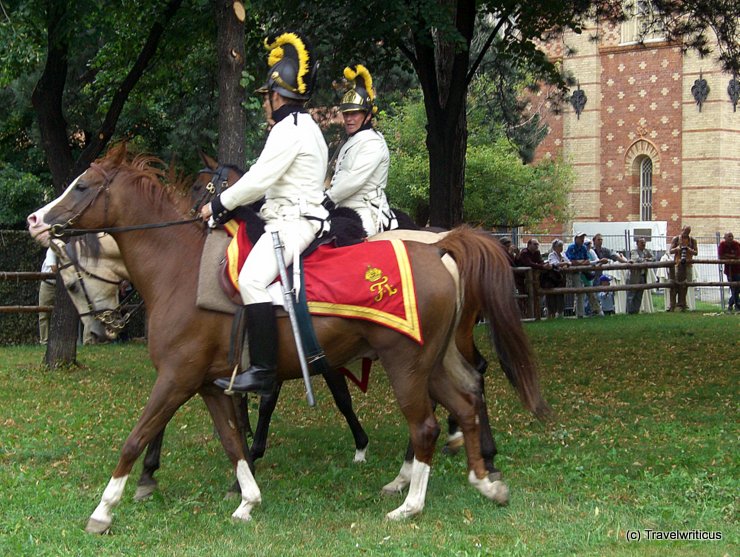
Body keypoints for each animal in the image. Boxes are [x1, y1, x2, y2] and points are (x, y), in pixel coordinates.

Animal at [26, 146, 548, 532]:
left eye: (82, 185)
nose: (35, 220)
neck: (182, 268)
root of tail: (438, 246)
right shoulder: (208, 384)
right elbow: (231, 440)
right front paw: (247, 498)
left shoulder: (176, 378)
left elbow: (138, 437)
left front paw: (105, 508)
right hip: (432, 363)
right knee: (466, 402)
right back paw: (483, 479)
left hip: (407, 365)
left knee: (427, 426)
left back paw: (410, 503)